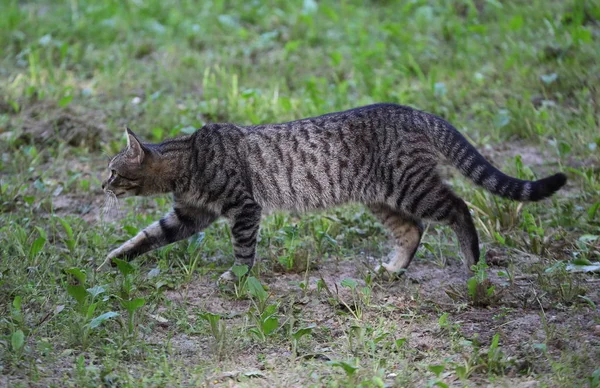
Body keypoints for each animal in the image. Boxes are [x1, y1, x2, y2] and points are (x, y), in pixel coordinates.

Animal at [99, 103, 568, 278]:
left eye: (113, 171)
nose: (102, 184)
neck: (188, 160)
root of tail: (411, 110)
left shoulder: (244, 207)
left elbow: (244, 248)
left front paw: (239, 277)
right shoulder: (190, 214)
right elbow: (147, 236)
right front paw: (114, 259)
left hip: (411, 186)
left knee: (458, 207)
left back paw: (472, 262)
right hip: (382, 198)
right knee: (413, 229)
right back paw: (394, 268)